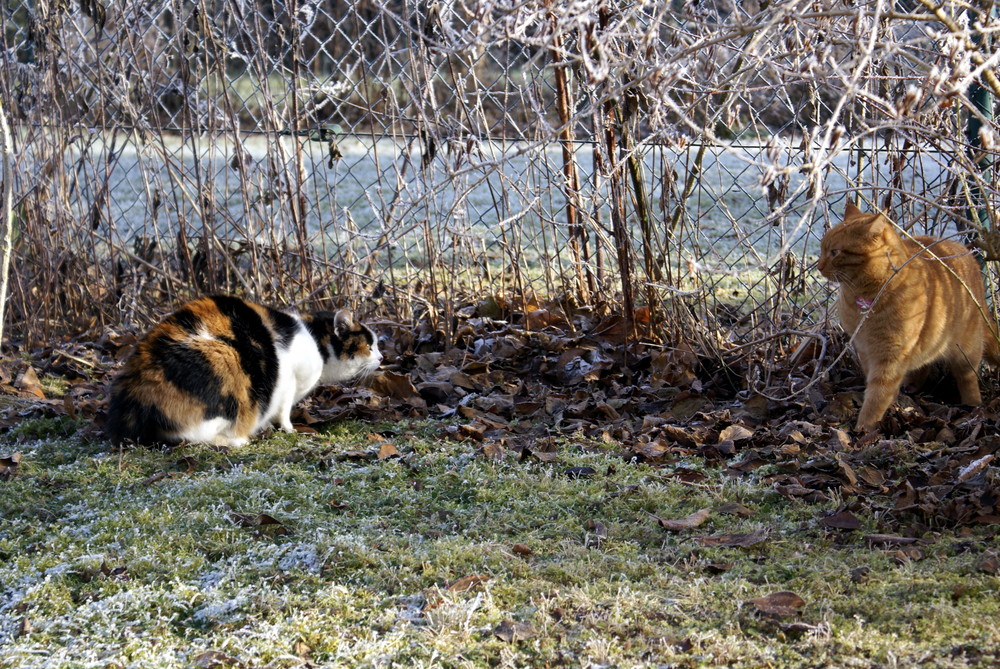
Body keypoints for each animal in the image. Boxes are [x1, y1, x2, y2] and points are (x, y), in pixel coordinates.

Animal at [108, 296, 382, 444]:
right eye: (369, 346)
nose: (381, 358)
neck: (315, 341)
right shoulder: (288, 383)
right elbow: (283, 412)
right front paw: (290, 429)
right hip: (225, 363)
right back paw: (236, 440)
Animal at [816, 204, 996, 430]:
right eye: (822, 249)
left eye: (835, 252)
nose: (819, 266)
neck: (865, 302)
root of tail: (965, 252)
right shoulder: (865, 350)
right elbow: (874, 384)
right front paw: (891, 405)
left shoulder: (890, 354)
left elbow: (878, 394)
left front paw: (865, 426)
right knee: (924, 363)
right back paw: (912, 386)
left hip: (966, 350)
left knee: (968, 377)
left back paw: (973, 404)